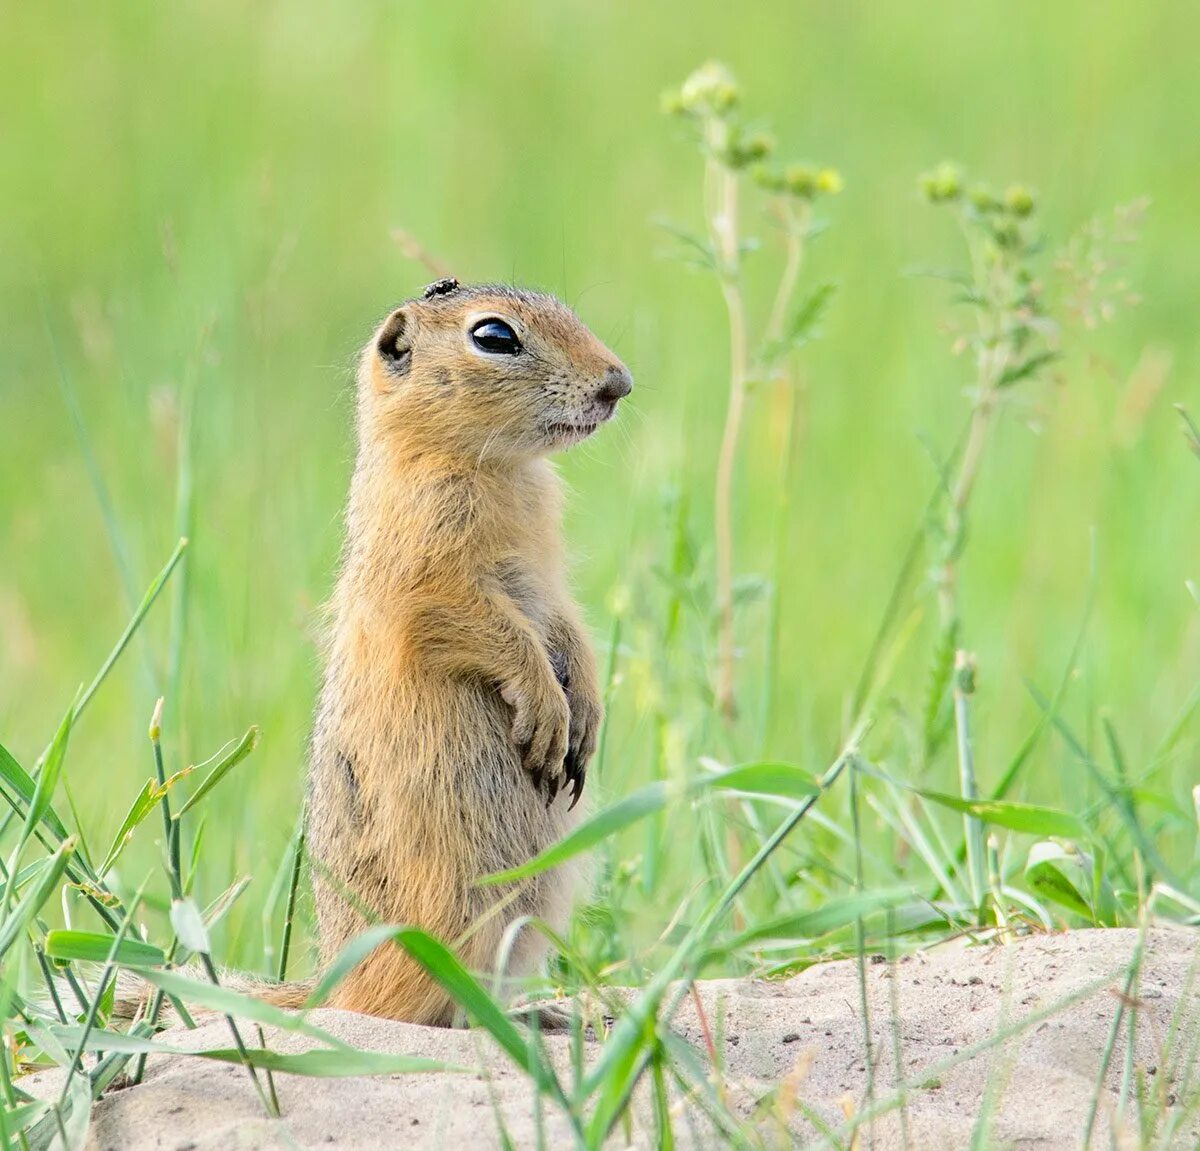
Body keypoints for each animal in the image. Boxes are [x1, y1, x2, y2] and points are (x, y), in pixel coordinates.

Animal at [300, 278, 633, 1027]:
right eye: (494, 336)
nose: (619, 383)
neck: (503, 469)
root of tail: (329, 991)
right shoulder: (431, 575)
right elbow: (485, 628)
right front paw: (546, 710)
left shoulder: (547, 579)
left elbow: (567, 627)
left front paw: (585, 715)